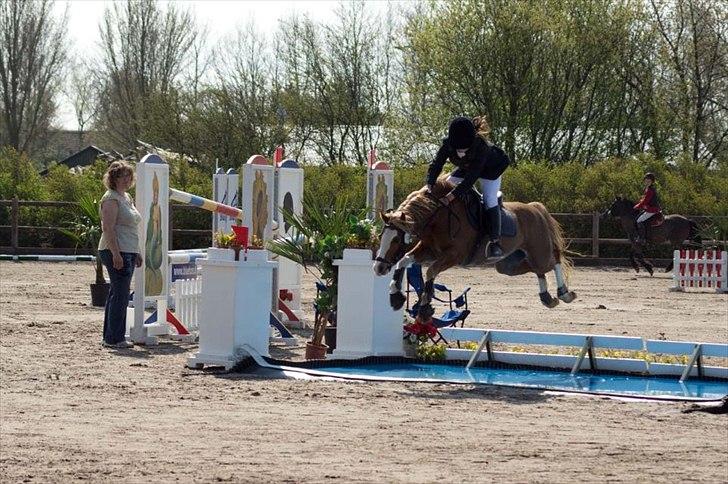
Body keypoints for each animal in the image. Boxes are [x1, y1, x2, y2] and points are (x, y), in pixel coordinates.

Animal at [372, 177, 576, 319]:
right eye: (382, 237)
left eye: (396, 240)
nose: (379, 268)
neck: (438, 216)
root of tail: (536, 208)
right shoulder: (429, 249)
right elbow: (404, 260)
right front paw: (395, 297)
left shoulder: (453, 255)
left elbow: (430, 271)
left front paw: (424, 307)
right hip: (508, 266)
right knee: (536, 269)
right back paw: (547, 297)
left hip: (539, 251)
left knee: (553, 261)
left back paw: (564, 293)